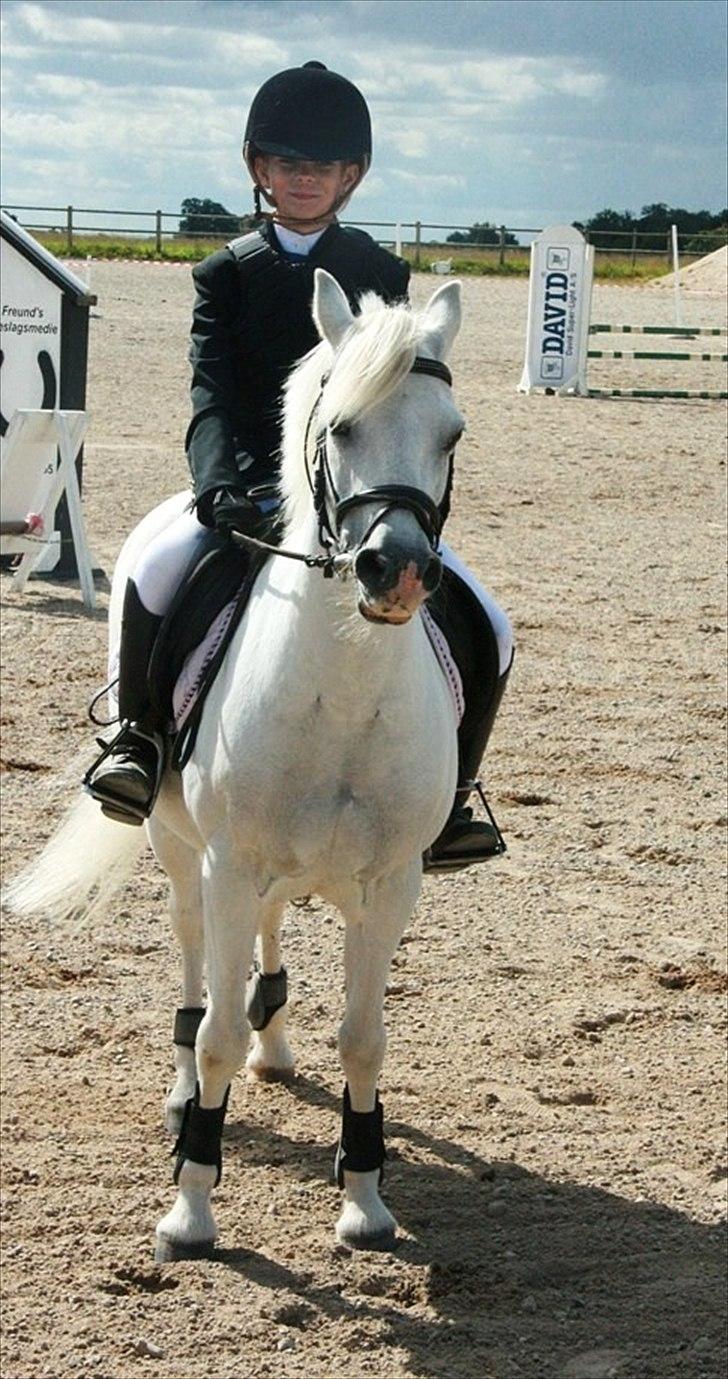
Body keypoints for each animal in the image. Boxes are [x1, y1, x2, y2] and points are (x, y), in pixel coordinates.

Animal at [7, 268, 467, 1259]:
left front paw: (364, 1199)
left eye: (451, 434)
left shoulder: (392, 882)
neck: (343, 690)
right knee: (194, 965)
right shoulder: (226, 860)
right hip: (184, 853)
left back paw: (277, 1043)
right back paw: (188, 1090)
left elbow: (364, 1038)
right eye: (342, 427)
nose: (399, 571)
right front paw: (190, 1207)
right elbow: (215, 1032)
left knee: (269, 931)